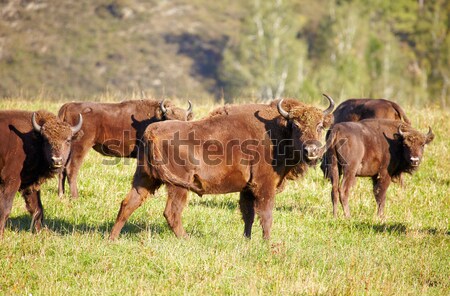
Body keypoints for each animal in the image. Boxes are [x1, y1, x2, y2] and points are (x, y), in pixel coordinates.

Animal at [58, 99, 193, 199]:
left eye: (184, 121)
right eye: (168, 119)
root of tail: (68, 105)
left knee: (62, 169)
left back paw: (61, 195)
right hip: (81, 146)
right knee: (71, 169)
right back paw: (75, 197)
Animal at [108, 95, 334, 240]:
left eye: (320, 126)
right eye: (295, 125)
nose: (312, 151)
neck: (277, 129)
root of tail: (152, 132)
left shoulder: (247, 189)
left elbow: (248, 215)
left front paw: (247, 240)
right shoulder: (264, 186)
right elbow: (266, 214)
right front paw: (268, 243)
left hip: (144, 178)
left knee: (128, 203)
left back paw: (112, 238)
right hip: (178, 186)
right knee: (171, 212)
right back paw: (187, 239)